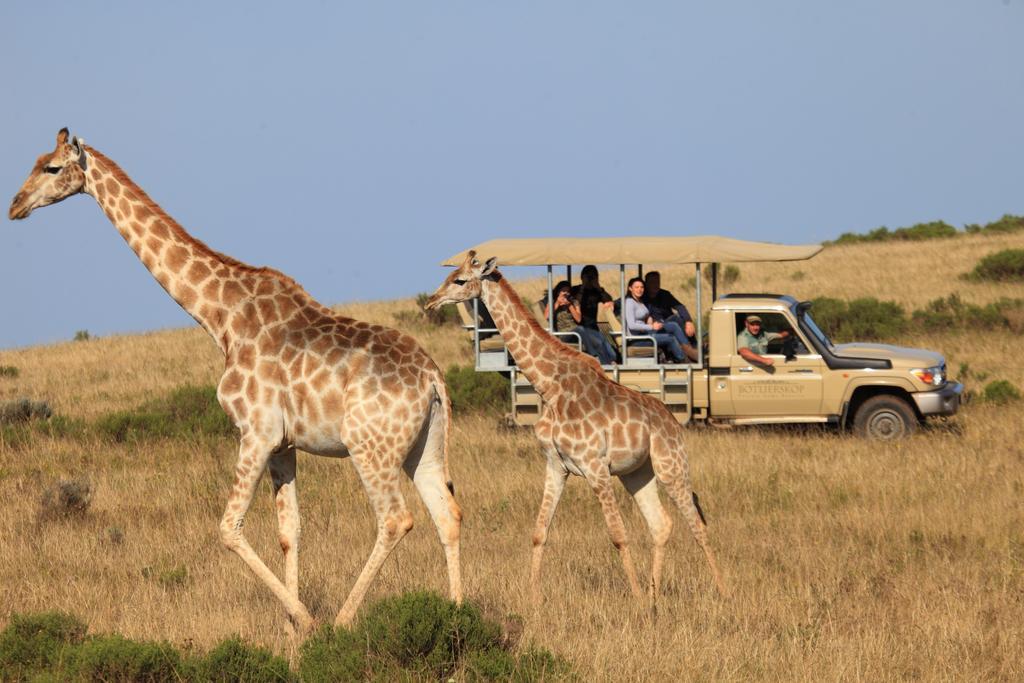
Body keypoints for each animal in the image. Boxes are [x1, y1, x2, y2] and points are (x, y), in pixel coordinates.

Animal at [7, 129, 464, 634]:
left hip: (371, 446)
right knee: (447, 514)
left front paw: (305, 621)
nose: (16, 206)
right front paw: (290, 631)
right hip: (425, 443)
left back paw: (344, 621)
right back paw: (458, 616)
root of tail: (433, 379)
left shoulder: (255, 432)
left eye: (51, 167)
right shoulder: (283, 444)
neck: (220, 316)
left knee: (396, 518)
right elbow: (289, 531)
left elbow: (228, 528)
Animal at [428, 254, 724, 602]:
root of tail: (675, 424)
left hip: (670, 465)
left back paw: (723, 592)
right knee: (661, 524)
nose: (432, 301)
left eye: (460, 280)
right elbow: (539, 531)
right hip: (637, 472)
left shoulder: (595, 466)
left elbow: (618, 535)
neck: (549, 387)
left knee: (697, 524)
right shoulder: (556, 465)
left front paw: (636, 598)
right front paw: (533, 598)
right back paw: (655, 596)